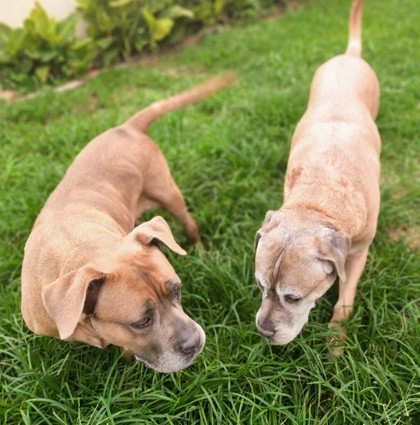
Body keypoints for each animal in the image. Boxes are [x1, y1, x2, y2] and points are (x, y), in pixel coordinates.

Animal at [22, 73, 236, 372]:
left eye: (177, 291)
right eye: (141, 322)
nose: (195, 343)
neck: (79, 247)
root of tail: (128, 127)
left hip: (169, 194)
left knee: (190, 224)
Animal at [254, 0, 382, 348]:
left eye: (293, 298)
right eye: (260, 285)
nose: (264, 331)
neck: (320, 196)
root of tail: (349, 56)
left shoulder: (357, 254)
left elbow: (344, 302)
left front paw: (335, 345)